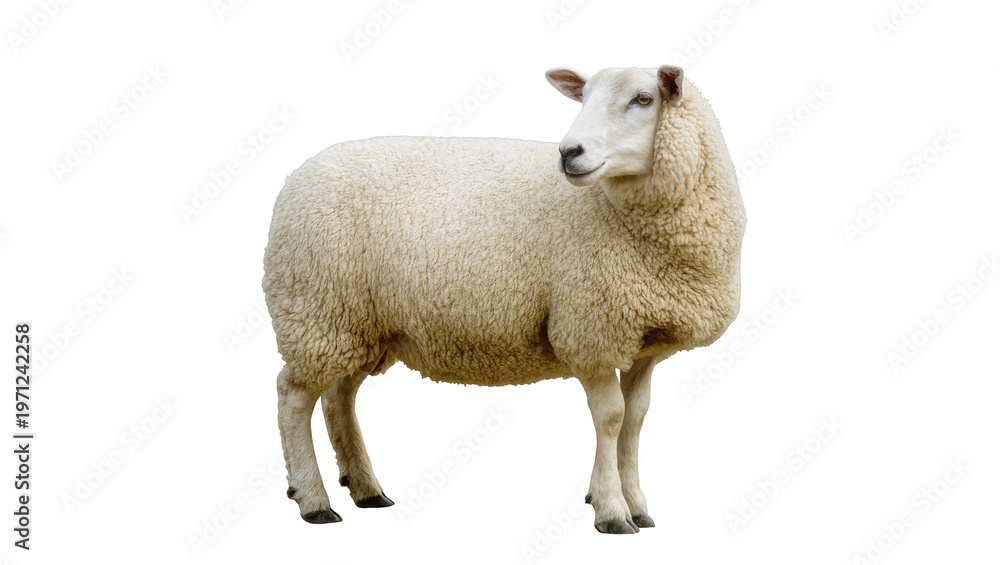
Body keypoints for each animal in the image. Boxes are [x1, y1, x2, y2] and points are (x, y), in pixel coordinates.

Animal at [262, 64, 746, 534]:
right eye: (584, 98)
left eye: (643, 99)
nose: (568, 153)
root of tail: (296, 176)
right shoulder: (588, 330)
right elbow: (610, 418)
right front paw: (611, 510)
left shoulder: (644, 343)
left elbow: (636, 419)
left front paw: (638, 506)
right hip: (314, 310)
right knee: (293, 398)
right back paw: (313, 500)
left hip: (359, 325)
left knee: (338, 398)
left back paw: (365, 489)